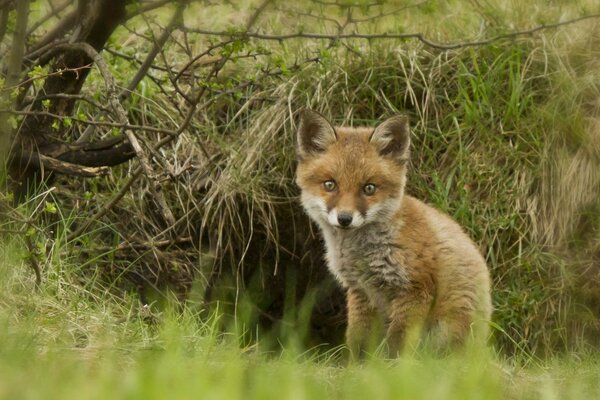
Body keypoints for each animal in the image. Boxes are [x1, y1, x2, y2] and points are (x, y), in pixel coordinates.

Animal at [296, 108, 492, 356]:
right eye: (330, 185)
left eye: (369, 188)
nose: (345, 219)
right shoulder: (361, 292)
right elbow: (358, 340)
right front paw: (355, 365)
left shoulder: (415, 290)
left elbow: (397, 344)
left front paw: (395, 366)